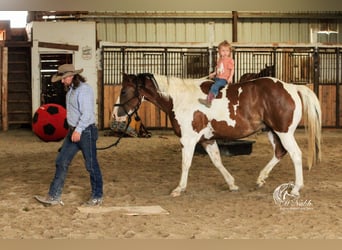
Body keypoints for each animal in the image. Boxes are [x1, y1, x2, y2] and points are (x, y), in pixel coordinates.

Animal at [117, 73, 320, 198]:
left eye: (124, 91)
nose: (116, 114)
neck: (180, 98)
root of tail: (292, 87)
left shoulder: (188, 140)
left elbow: (185, 164)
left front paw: (179, 189)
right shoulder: (207, 140)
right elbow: (217, 162)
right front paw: (232, 184)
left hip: (283, 132)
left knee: (295, 155)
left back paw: (295, 189)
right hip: (272, 131)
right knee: (279, 152)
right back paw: (260, 179)